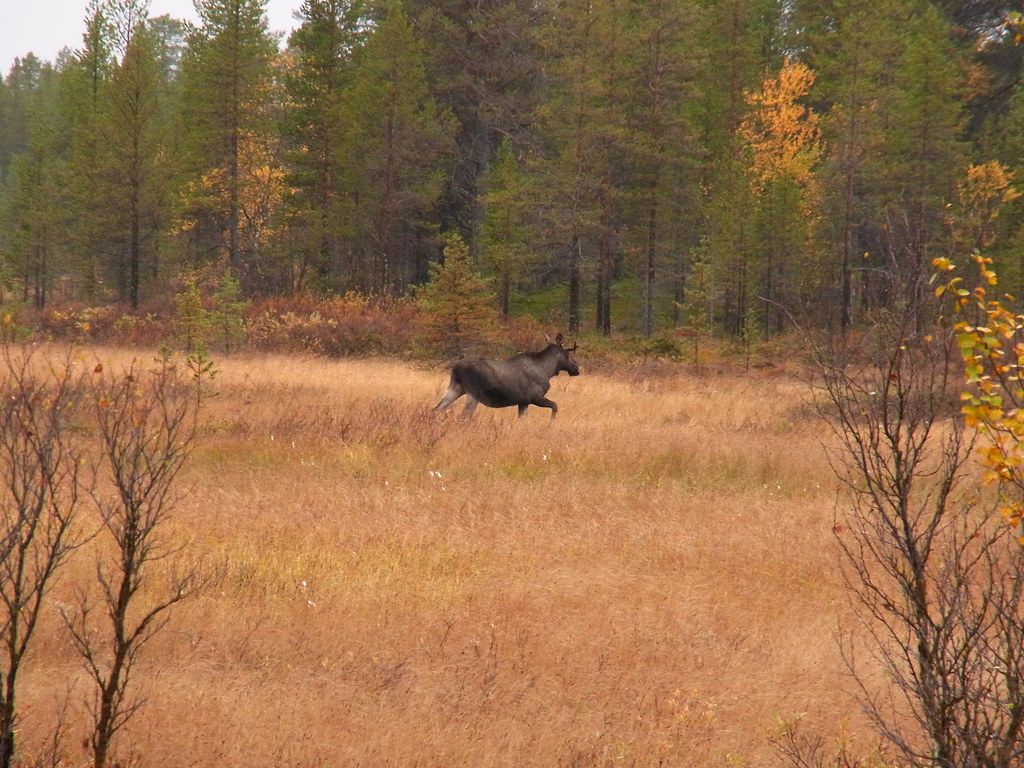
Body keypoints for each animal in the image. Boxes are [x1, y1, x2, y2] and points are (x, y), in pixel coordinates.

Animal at [432, 333, 577, 417]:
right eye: (568, 352)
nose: (576, 367)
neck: (547, 370)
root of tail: (456, 367)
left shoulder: (523, 402)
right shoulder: (535, 397)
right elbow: (555, 406)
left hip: (456, 388)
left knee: (436, 409)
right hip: (474, 393)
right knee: (464, 416)